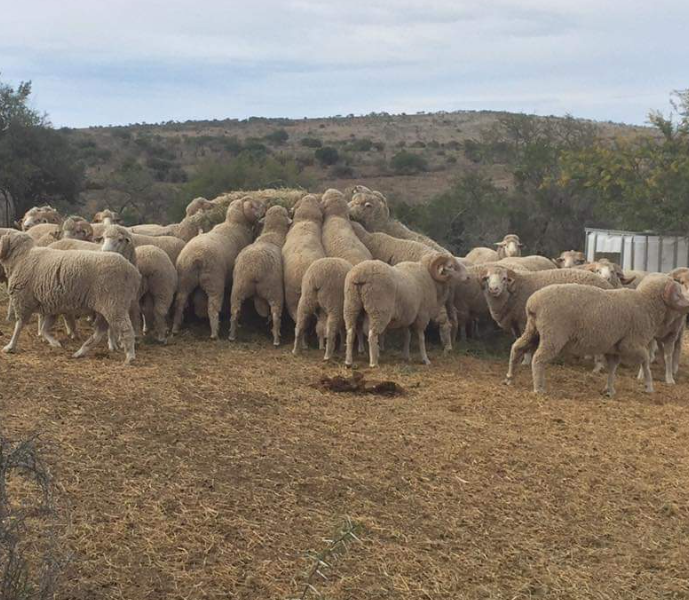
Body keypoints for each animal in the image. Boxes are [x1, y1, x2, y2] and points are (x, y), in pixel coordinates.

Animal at [0, 231, 141, 363]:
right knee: (100, 332)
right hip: (107, 306)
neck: (22, 257)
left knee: (126, 329)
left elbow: (19, 326)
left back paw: (130, 357)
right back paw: (80, 352)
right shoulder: (53, 305)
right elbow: (45, 328)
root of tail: (133, 272)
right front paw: (54, 343)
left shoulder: (23, 300)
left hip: (114, 304)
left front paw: (10, 346)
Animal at [172, 196, 265, 339]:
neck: (235, 224)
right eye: (255, 204)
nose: (265, 208)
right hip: (214, 281)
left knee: (180, 302)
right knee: (213, 307)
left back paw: (175, 328)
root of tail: (196, 258)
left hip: (185, 279)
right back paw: (215, 332)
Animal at [229, 206, 291, 345]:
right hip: (274, 291)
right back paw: (276, 339)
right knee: (275, 314)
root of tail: (255, 270)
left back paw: (232, 335)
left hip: (238, 288)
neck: (272, 232)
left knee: (235, 311)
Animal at [505, 274, 689, 396]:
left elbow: (613, 368)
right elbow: (645, 359)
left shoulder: (615, 348)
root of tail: (533, 303)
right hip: (553, 335)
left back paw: (509, 377)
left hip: (533, 330)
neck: (646, 305)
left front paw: (610, 389)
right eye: (678, 293)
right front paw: (648, 386)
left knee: (517, 348)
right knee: (538, 358)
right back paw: (538, 388)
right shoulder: (630, 344)